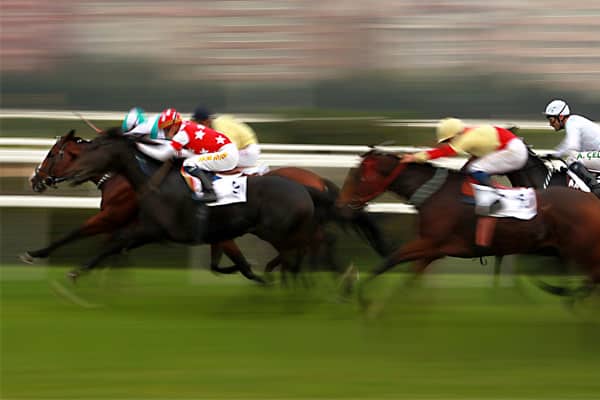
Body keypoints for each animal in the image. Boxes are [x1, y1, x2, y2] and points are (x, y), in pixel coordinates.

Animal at [24, 130, 390, 280]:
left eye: (54, 154)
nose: (34, 179)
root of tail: (313, 181)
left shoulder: (117, 219)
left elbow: (78, 233)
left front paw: (37, 254)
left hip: (286, 229)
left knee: (314, 244)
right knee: (315, 245)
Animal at [338, 148, 600, 302]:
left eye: (358, 176)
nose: (340, 205)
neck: (435, 193)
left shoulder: (430, 242)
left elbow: (391, 260)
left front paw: (356, 292)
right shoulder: (433, 249)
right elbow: (410, 274)